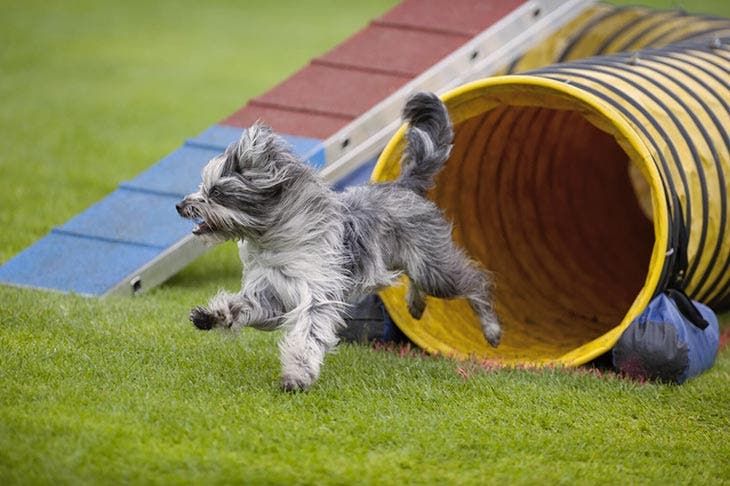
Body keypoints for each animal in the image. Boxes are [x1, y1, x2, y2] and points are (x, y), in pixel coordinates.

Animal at [176, 92, 498, 392]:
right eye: (203, 187)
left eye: (216, 193)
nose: (180, 205)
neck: (274, 238)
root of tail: (402, 185)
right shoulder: (271, 293)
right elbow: (241, 306)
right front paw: (211, 315)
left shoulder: (317, 294)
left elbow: (308, 334)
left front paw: (297, 376)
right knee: (417, 279)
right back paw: (416, 305)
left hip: (433, 269)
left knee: (476, 282)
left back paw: (492, 329)